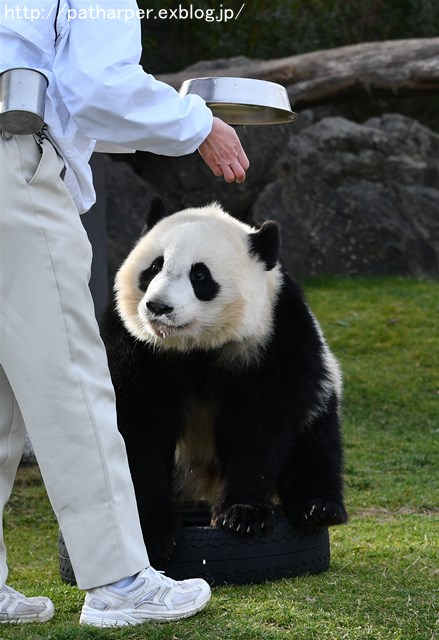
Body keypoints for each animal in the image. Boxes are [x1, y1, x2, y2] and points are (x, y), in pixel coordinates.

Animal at [101, 198, 348, 564]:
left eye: (199, 275)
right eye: (154, 267)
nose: (158, 307)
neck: (194, 347)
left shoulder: (272, 336)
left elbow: (260, 425)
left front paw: (243, 515)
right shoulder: (134, 345)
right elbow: (138, 426)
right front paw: (150, 529)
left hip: (321, 388)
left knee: (317, 442)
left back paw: (319, 508)